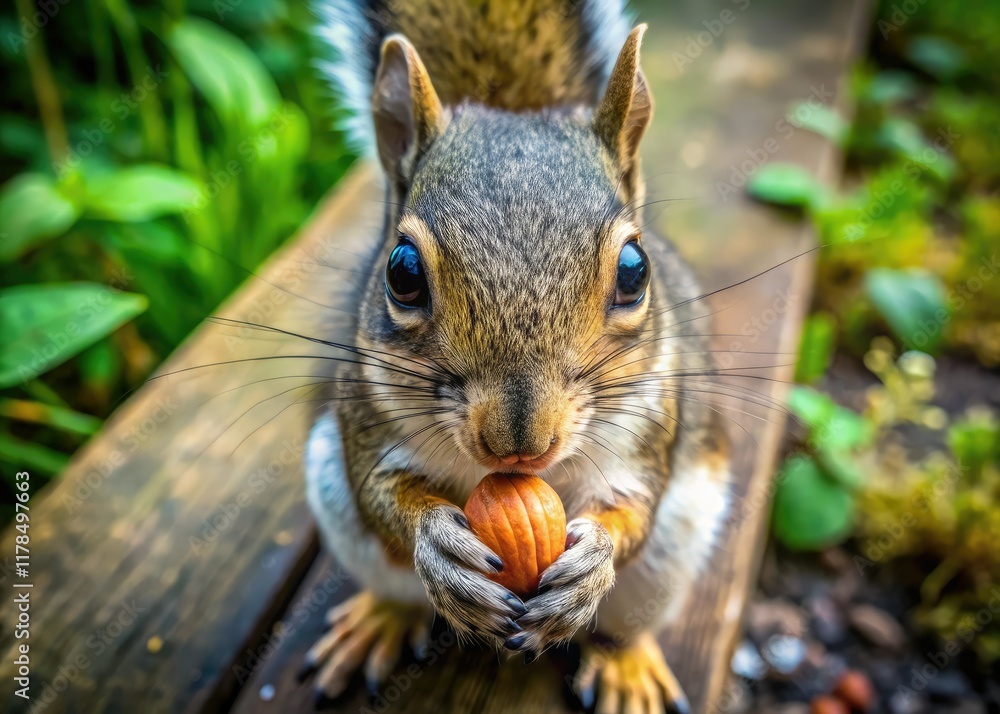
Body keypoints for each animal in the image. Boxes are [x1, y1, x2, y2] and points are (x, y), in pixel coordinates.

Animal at [303, 1, 731, 712]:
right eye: (401, 271)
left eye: (635, 271)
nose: (519, 443)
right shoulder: (364, 418)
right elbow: (381, 493)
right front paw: (437, 544)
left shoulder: (648, 431)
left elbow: (634, 507)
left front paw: (595, 560)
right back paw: (383, 617)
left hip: (677, 549)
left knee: (629, 618)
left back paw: (625, 663)